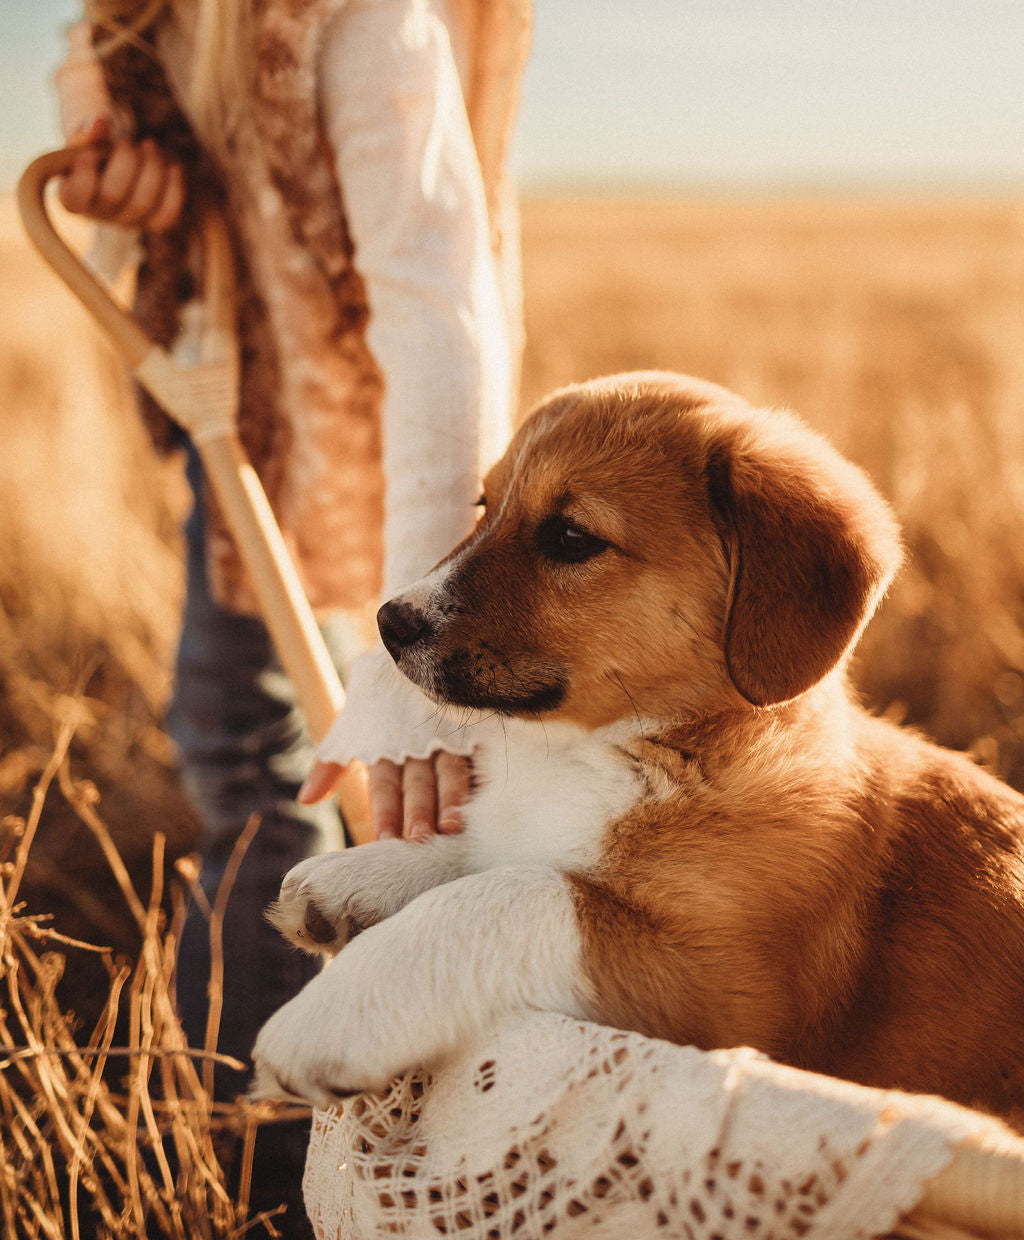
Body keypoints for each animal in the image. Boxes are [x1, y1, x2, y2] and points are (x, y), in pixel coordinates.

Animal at [251, 367, 1021, 1125]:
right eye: (484, 503)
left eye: (571, 537)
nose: (389, 622)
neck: (638, 747)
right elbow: (487, 851)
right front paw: (358, 877)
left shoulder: (719, 991)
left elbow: (516, 891)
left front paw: (332, 1015)